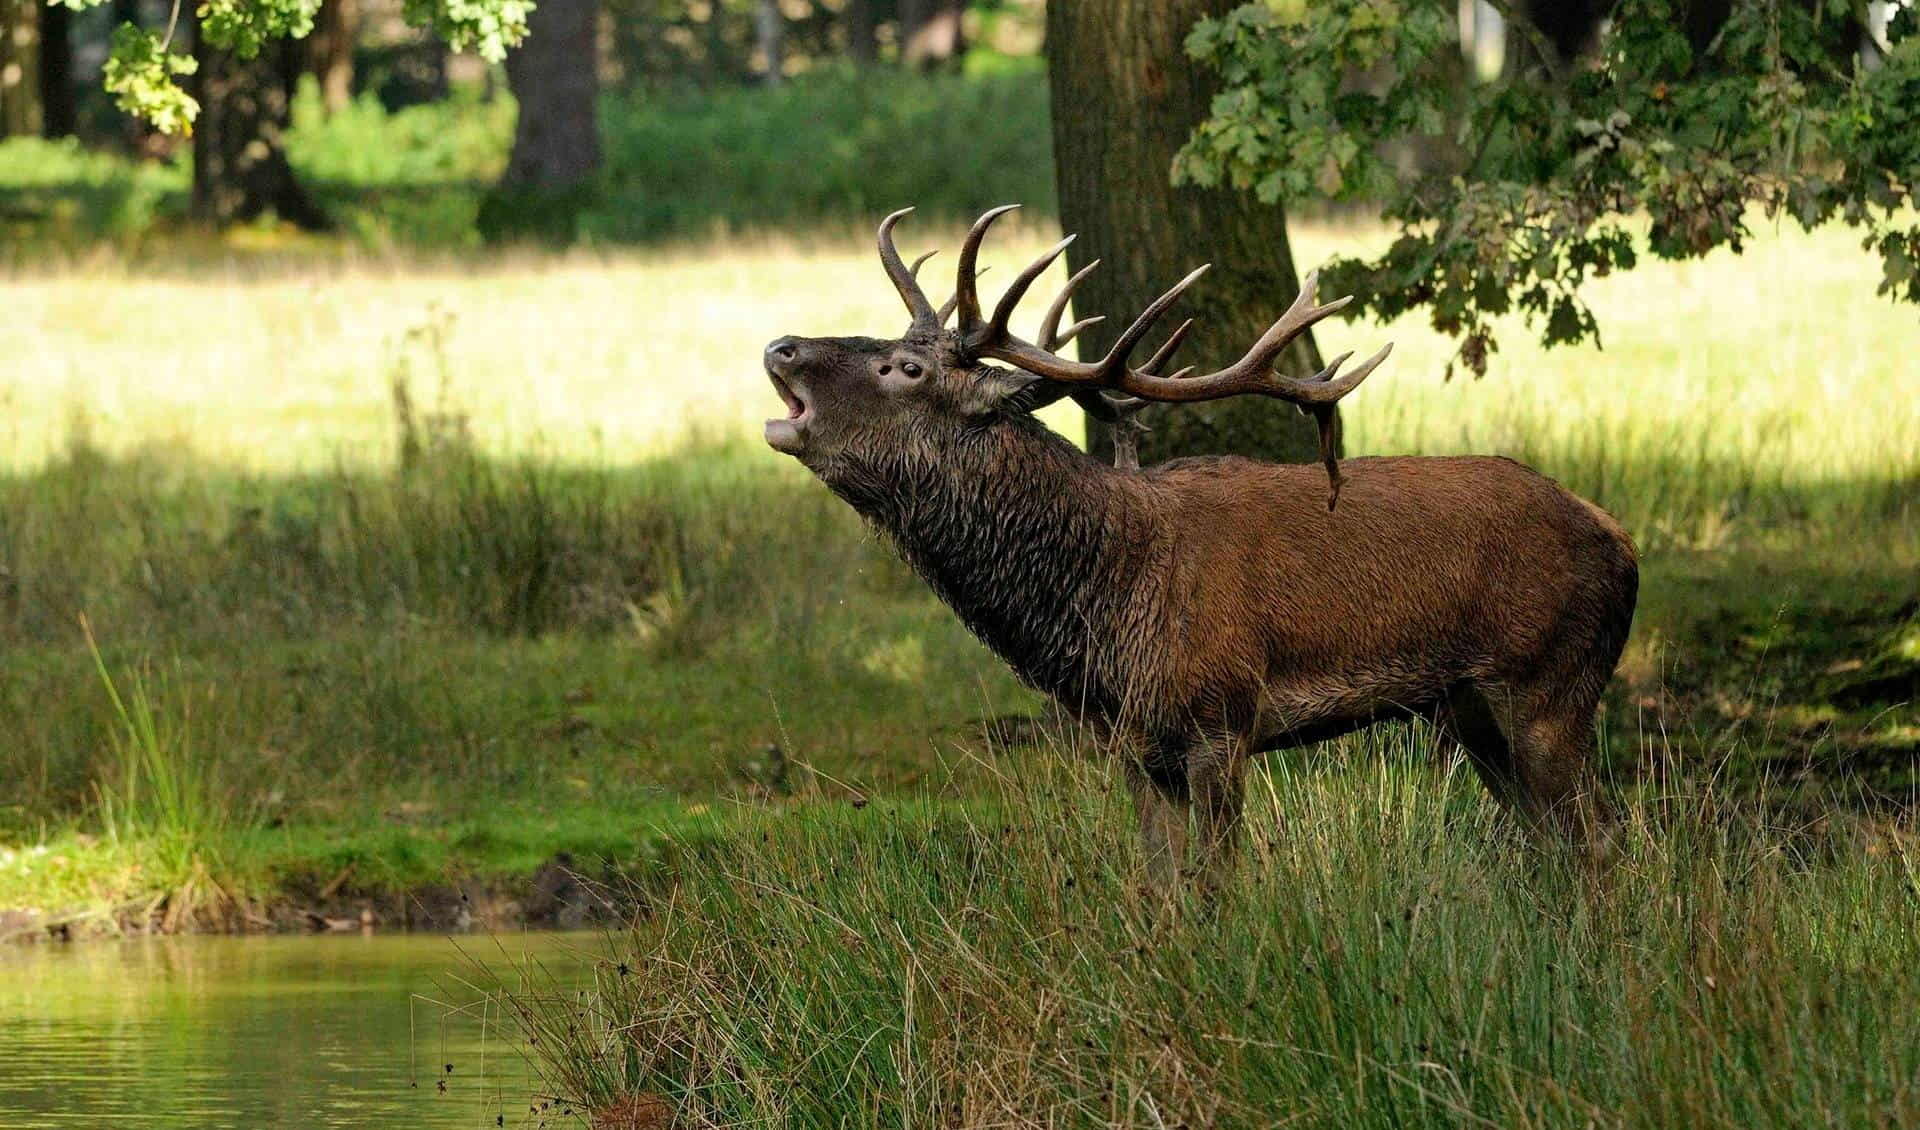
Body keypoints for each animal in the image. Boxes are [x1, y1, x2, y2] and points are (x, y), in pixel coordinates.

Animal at [760, 207, 1635, 886]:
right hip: (1469, 707)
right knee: (1549, 838)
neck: (1107, 601)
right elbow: (1162, 887)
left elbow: (1216, 884)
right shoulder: (1134, 745)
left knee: (1600, 838)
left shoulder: (1221, 718)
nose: (781, 347)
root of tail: (1624, 544)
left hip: (1549, 680)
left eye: (905, 366)